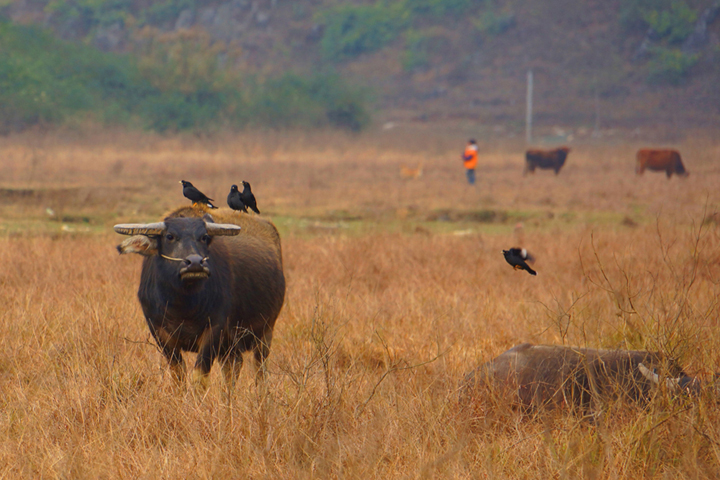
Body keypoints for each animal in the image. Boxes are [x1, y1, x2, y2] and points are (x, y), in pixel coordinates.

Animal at [114, 204, 284, 392]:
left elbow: (199, 377)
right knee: (233, 367)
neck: (182, 305)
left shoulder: (215, 330)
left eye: (204, 237)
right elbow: (178, 374)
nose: (195, 263)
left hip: (265, 331)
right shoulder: (160, 333)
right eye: (169, 236)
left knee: (259, 368)